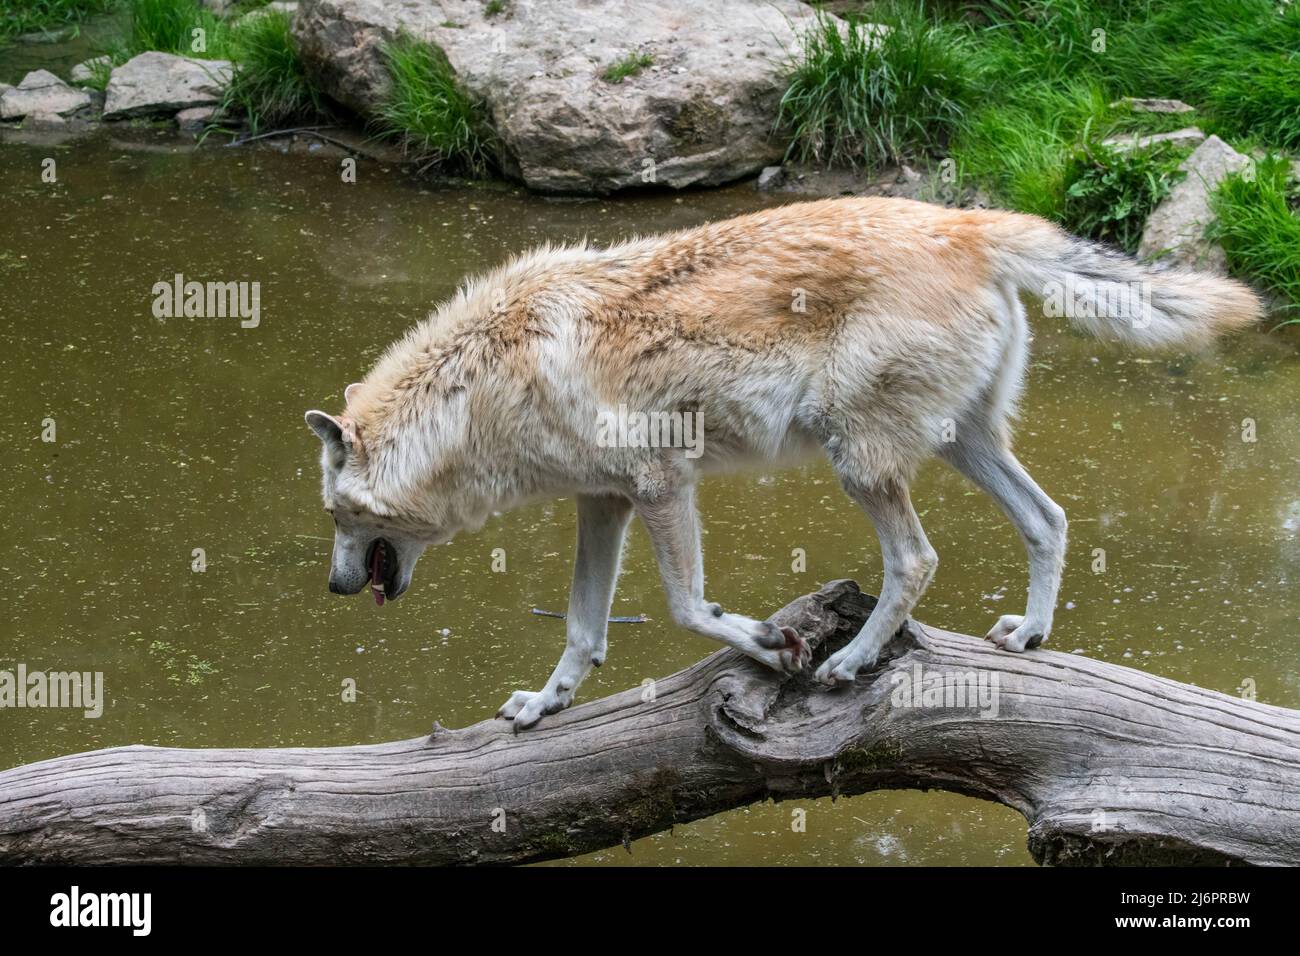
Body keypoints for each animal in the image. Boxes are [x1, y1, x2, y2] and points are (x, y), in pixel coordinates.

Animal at [306, 197, 1259, 729]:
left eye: (337, 517)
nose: (335, 589)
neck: (484, 387)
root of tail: (967, 222)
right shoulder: (603, 504)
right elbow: (582, 629)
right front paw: (547, 705)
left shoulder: (662, 486)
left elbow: (689, 609)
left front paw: (774, 644)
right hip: (964, 444)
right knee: (1049, 519)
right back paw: (1028, 634)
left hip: (859, 461)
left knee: (916, 560)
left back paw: (848, 663)